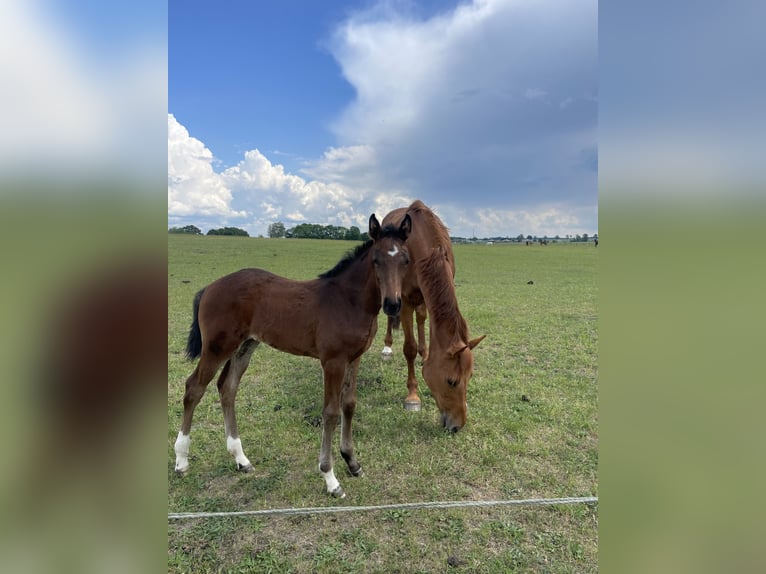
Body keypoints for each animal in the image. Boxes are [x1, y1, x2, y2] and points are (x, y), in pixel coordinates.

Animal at [174, 214, 414, 498]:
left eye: (405, 260)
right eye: (376, 259)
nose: (392, 304)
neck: (348, 301)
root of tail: (209, 287)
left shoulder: (354, 358)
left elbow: (349, 405)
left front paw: (352, 462)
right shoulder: (332, 361)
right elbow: (331, 412)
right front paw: (330, 478)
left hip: (245, 346)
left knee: (227, 388)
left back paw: (241, 459)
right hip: (216, 347)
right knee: (194, 388)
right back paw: (181, 461)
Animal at [380, 202, 484, 432]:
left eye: (470, 376)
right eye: (451, 381)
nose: (457, 426)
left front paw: (425, 356)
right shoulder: (405, 300)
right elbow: (409, 349)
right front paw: (412, 396)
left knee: (420, 319)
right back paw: (387, 347)